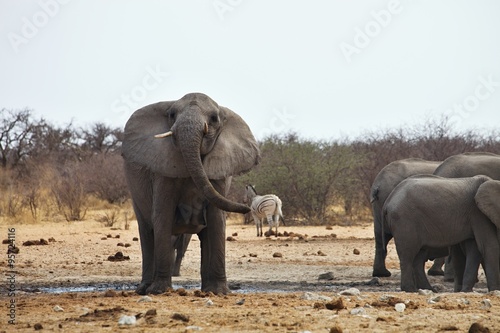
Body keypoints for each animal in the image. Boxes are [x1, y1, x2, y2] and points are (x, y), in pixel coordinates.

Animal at [122, 91, 260, 294]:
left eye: (214, 118)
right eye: (171, 115)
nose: (247, 208)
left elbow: (217, 219)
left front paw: (219, 292)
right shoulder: (162, 169)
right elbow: (162, 215)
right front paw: (160, 291)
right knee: (147, 231)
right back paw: (144, 289)